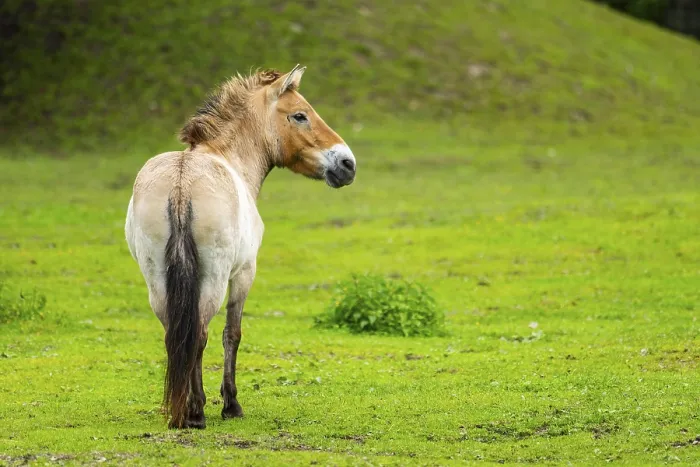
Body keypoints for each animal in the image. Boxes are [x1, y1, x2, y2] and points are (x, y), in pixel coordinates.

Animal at [124, 65, 356, 429]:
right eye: (300, 115)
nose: (347, 164)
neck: (226, 157)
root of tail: (180, 183)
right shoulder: (245, 273)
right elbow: (231, 333)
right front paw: (230, 403)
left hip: (156, 279)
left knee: (175, 333)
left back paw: (181, 408)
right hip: (215, 278)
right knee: (200, 332)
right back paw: (196, 411)